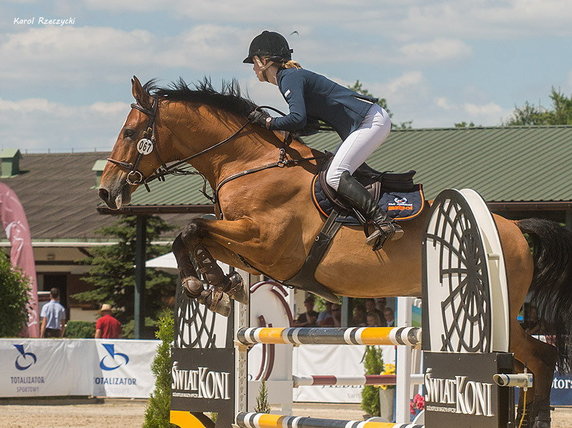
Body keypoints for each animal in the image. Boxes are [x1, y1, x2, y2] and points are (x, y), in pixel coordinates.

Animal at [100, 77, 572, 428]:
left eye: (129, 134)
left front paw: (207, 286)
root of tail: (512, 226)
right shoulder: (248, 249)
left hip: (498, 309)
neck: (248, 164)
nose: (107, 194)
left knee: (540, 356)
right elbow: (194, 238)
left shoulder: (268, 245)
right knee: (537, 358)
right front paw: (218, 287)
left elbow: (191, 229)